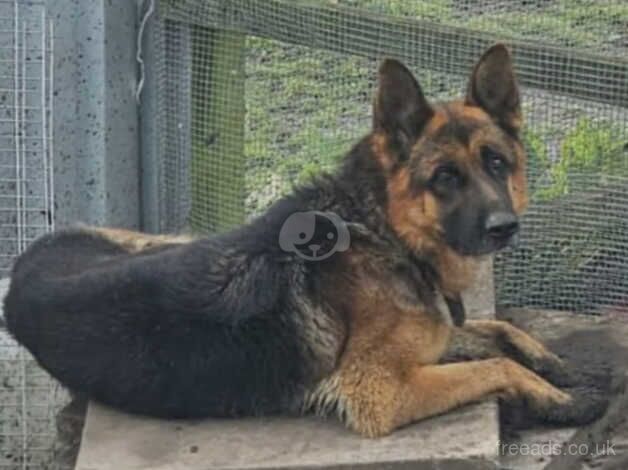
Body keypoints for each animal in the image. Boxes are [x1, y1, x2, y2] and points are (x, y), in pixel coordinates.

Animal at [6, 45, 604, 436]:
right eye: (445, 178)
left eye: (496, 163)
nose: (504, 227)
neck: (383, 230)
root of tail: (21, 270)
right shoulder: (379, 393)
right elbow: (496, 366)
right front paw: (563, 401)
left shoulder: (433, 336)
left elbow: (499, 331)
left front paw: (560, 368)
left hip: (168, 238)